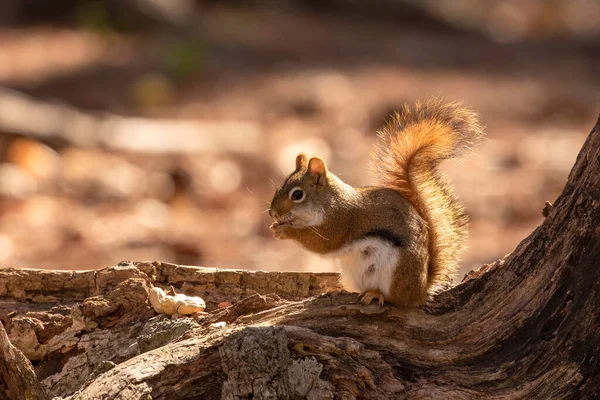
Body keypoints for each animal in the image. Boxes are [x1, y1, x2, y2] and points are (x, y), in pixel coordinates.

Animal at [270, 97, 486, 306]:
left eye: (297, 195)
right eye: (279, 188)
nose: (273, 213)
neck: (329, 202)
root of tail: (420, 290)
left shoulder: (341, 221)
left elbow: (322, 243)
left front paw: (285, 231)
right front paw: (275, 226)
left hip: (396, 271)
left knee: (396, 300)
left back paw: (376, 294)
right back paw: (339, 290)